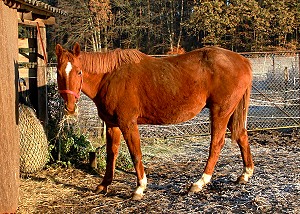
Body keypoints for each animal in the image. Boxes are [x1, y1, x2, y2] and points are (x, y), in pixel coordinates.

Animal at [55, 43, 253, 201]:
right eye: (59, 73)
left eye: (79, 71)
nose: (69, 107)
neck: (110, 77)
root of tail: (243, 61)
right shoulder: (112, 125)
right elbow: (112, 154)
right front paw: (104, 184)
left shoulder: (128, 123)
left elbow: (136, 154)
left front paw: (139, 188)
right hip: (231, 113)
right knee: (242, 136)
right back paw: (245, 174)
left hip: (220, 112)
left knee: (216, 144)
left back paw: (199, 183)